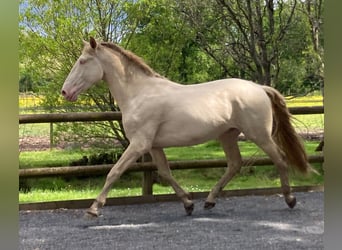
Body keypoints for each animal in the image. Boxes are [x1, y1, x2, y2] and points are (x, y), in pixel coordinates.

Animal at [60, 36, 312, 217]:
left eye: (82, 61)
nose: (65, 91)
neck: (139, 94)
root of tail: (259, 87)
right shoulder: (153, 146)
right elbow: (165, 173)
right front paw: (188, 204)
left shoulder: (139, 144)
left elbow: (114, 172)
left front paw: (93, 209)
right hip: (228, 135)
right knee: (234, 164)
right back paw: (209, 201)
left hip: (258, 134)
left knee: (279, 159)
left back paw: (290, 199)